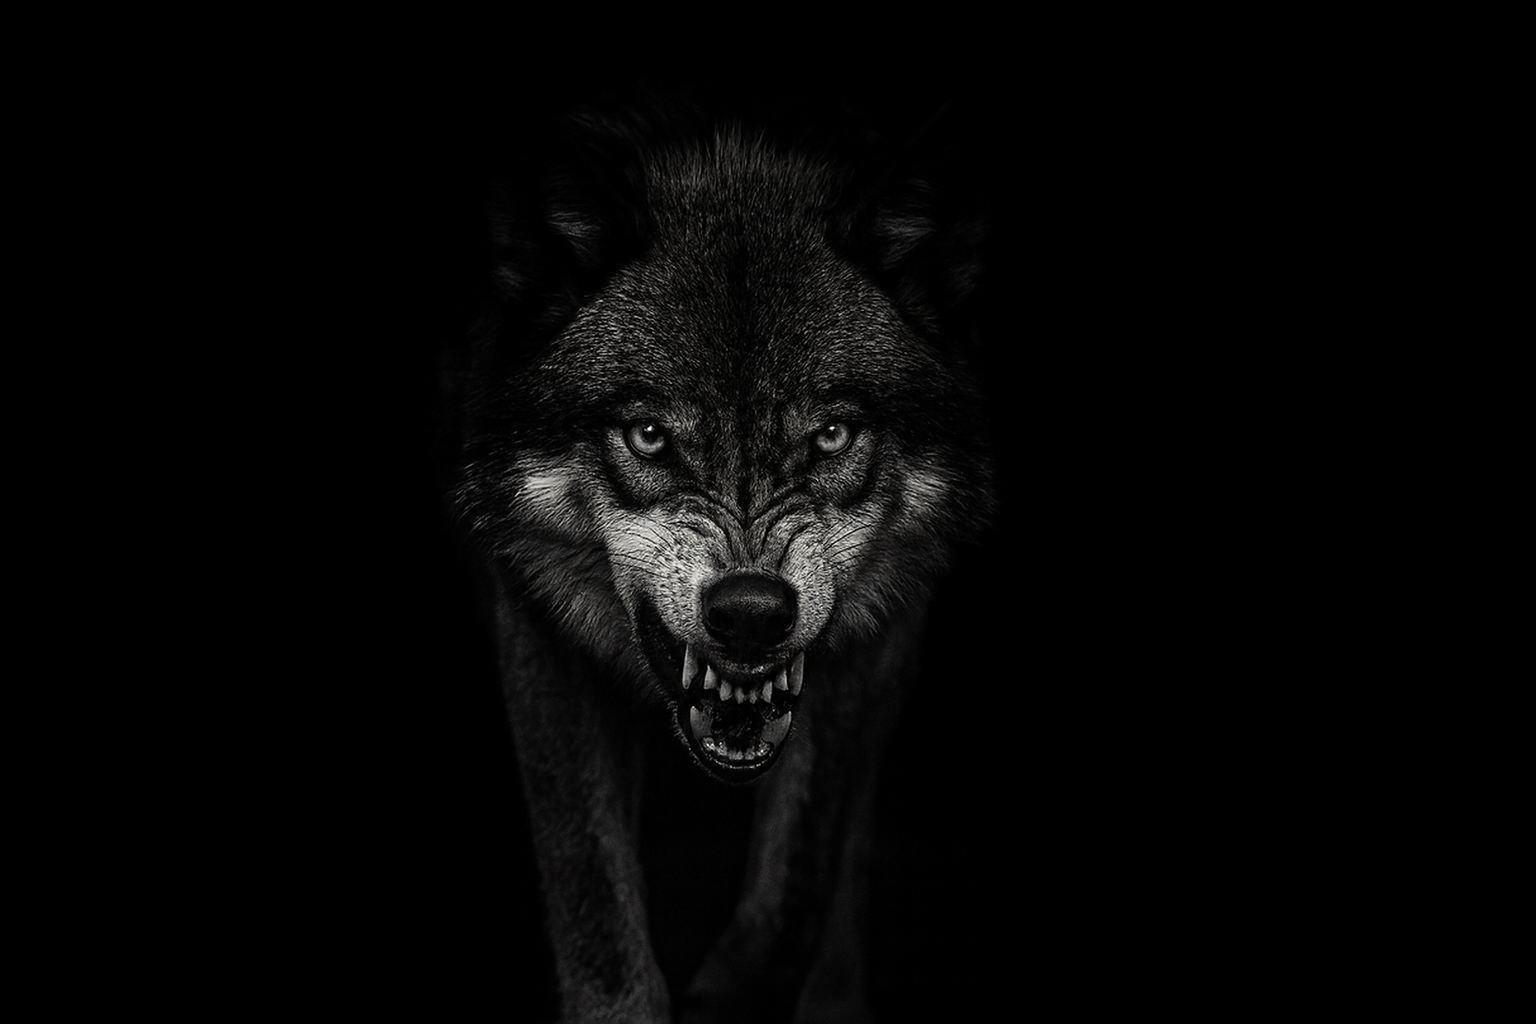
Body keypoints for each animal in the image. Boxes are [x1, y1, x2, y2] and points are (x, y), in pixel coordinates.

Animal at [447, 93, 993, 1023]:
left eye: (831, 435)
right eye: (649, 435)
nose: (748, 613)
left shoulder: (875, 632)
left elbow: (794, 888)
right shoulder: (529, 609)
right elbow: (595, 906)